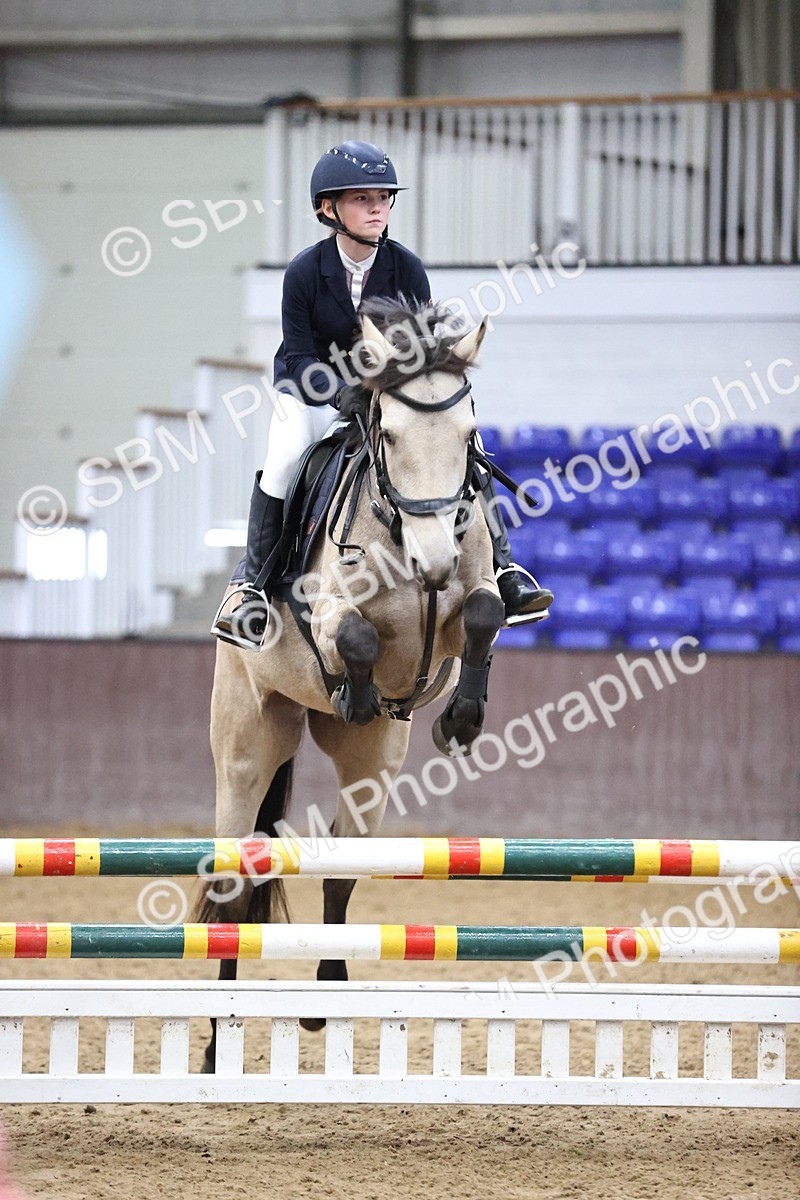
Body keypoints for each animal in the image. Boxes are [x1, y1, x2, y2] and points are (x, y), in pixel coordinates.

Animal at [198, 298, 506, 1069]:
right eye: (389, 435)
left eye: (468, 436)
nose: (433, 559)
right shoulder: (328, 606)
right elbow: (357, 636)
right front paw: (358, 690)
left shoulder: (466, 601)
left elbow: (484, 612)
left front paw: (461, 719)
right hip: (245, 744)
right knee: (231, 887)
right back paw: (216, 1044)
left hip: (372, 765)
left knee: (341, 871)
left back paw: (324, 1000)